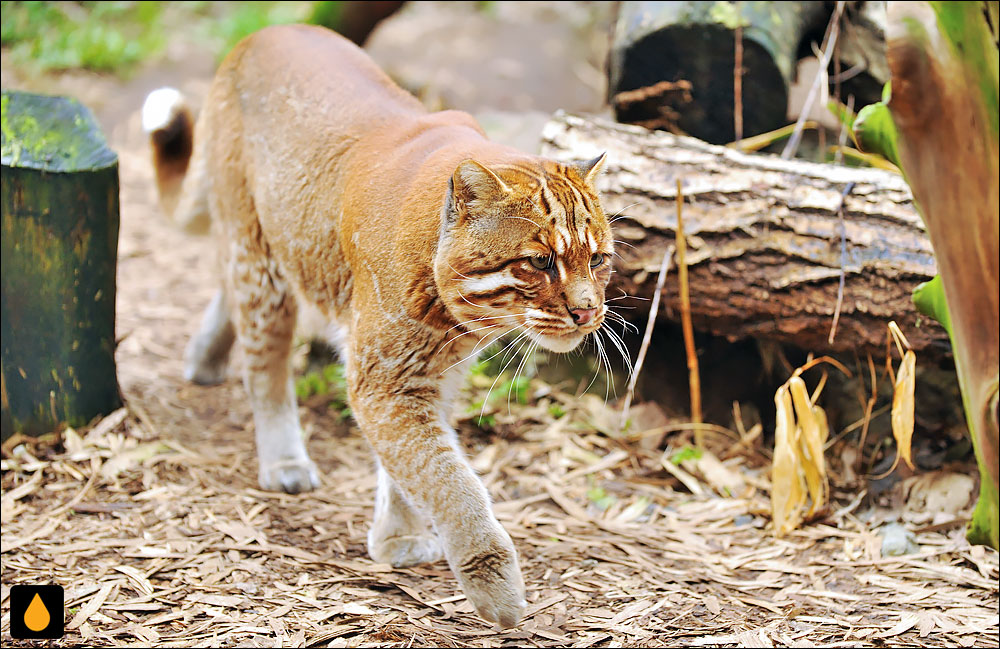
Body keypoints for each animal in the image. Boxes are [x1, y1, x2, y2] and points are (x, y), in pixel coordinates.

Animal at [140, 22, 608, 624]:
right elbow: (445, 476)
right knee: (266, 365)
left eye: (599, 260)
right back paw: (283, 458)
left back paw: (204, 357)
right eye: (540, 262)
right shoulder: (383, 377)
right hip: (261, 261)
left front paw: (397, 536)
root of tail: (262, 33)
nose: (588, 311)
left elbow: (411, 462)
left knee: (229, 289)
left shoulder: (428, 376)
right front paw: (495, 588)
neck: (455, 313)